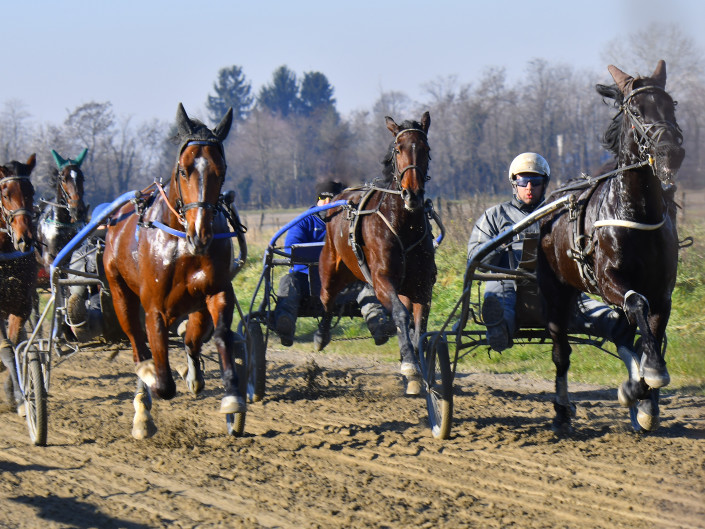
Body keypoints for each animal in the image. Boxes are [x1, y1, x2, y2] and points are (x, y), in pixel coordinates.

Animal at [103, 102, 246, 438]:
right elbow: (163, 381)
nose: (201, 235)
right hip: (119, 291)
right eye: (184, 170)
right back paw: (143, 402)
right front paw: (151, 382)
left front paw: (231, 396)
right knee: (136, 343)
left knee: (190, 336)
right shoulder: (155, 308)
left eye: (221, 171)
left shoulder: (216, 292)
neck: (182, 246)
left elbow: (218, 336)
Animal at [314, 112, 434, 392]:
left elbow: (418, 326)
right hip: (332, 264)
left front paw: (415, 363)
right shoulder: (381, 280)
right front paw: (410, 366)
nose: (412, 194)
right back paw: (321, 335)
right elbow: (400, 314)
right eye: (398, 149)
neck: (404, 224)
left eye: (425, 149)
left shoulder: (422, 286)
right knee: (327, 298)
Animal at [540, 60, 680, 434]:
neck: (636, 211)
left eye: (671, 105)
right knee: (561, 351)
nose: (670, 152)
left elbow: (650, 335)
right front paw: (643, 382)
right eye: (636, 109)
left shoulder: (662, 291)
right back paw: (562, 410)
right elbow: (636, 304)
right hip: (556, 290)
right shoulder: (609, 281)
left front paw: (645, 397)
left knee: (624, 335)